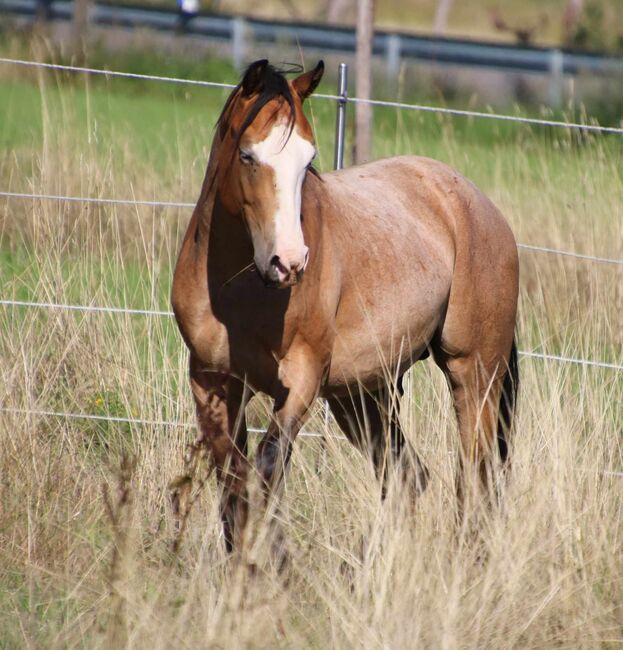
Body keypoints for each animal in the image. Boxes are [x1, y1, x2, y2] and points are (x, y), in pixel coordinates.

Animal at [172, 59, 520, 552]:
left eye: (308, 160)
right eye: (247, 156)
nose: (289, 262)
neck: (240, 291)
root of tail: (483, 209)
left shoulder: (299, 382)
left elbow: (268, 468)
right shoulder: (211, 384)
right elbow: (233, 489)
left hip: (474, 373)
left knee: (475, 478)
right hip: (363, 394)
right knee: (408, 476)